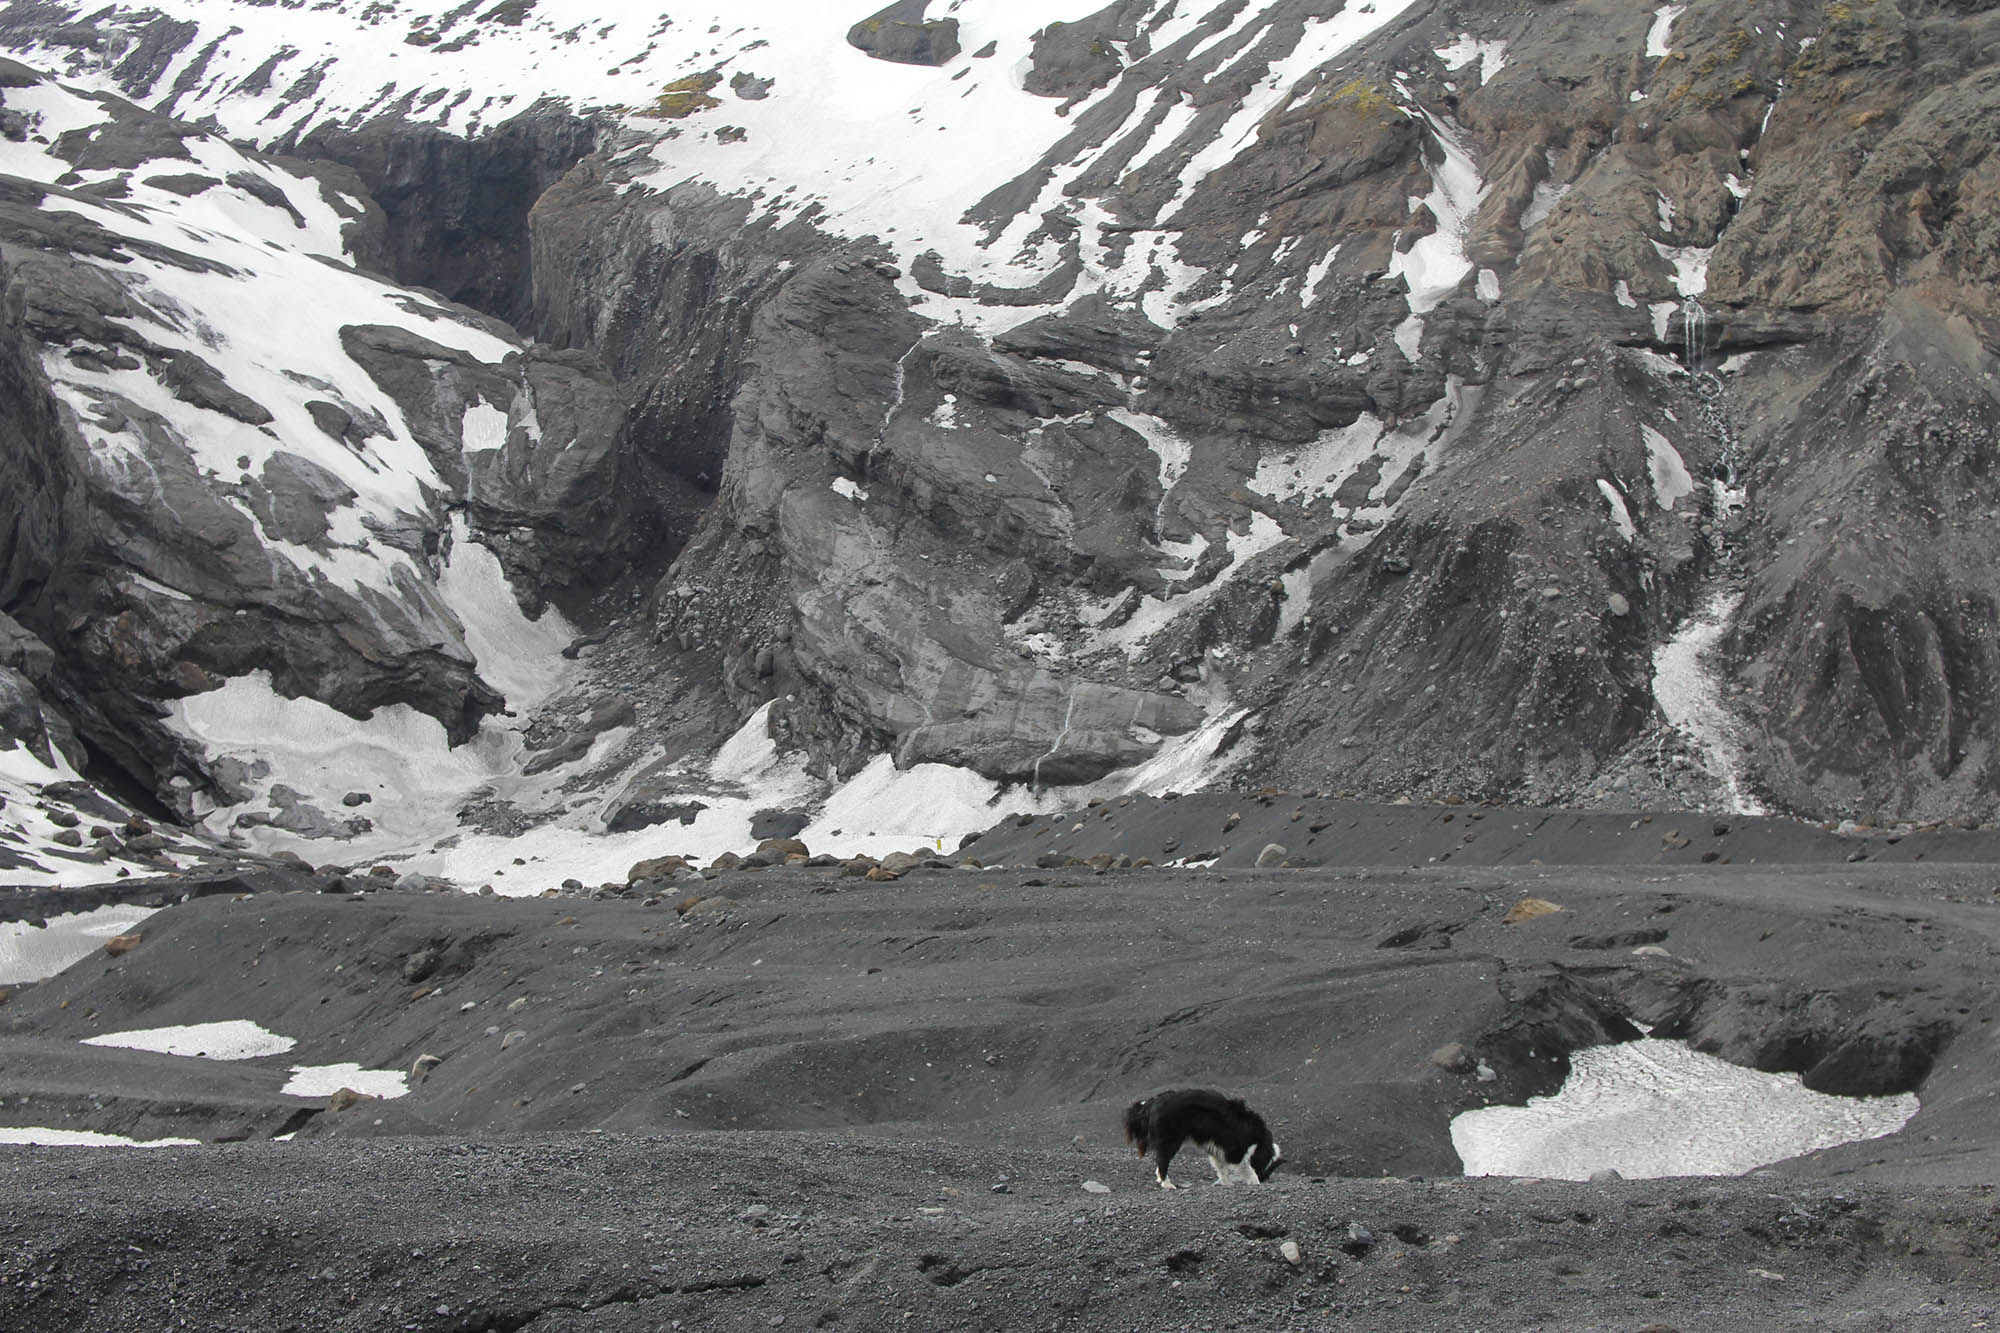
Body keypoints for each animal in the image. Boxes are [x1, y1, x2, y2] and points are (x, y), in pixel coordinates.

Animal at [1128, 1088, 1280, 1184]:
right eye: (1266, 1170)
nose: (1264, 1178)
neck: (1260, 1143)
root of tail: (1152, 1102)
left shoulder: (1219, 1149)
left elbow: (1222, 1169)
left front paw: (1226, 1184)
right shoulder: (1236, 1152)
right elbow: (1248, 1170)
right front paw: (1255, 1182)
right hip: (1171, 1141)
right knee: (1162, 1161)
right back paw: (1168, 1185)